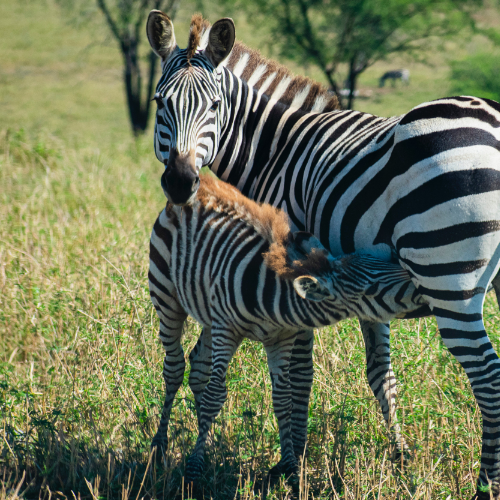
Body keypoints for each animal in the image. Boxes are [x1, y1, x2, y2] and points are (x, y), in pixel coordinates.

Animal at [147, 174, 422, 486]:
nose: (422, 288)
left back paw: (210, 441)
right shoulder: (227, 330)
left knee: (198, 368)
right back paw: (159, 448)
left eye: (386, 262)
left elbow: (283, 399)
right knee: (174, 368)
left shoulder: (281, 338)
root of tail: (201, 184)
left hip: (207, 311)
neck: (274, 296)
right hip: (166, 298)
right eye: (372, 290)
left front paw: (291, 469)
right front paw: (194, 469)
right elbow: (215, 395)